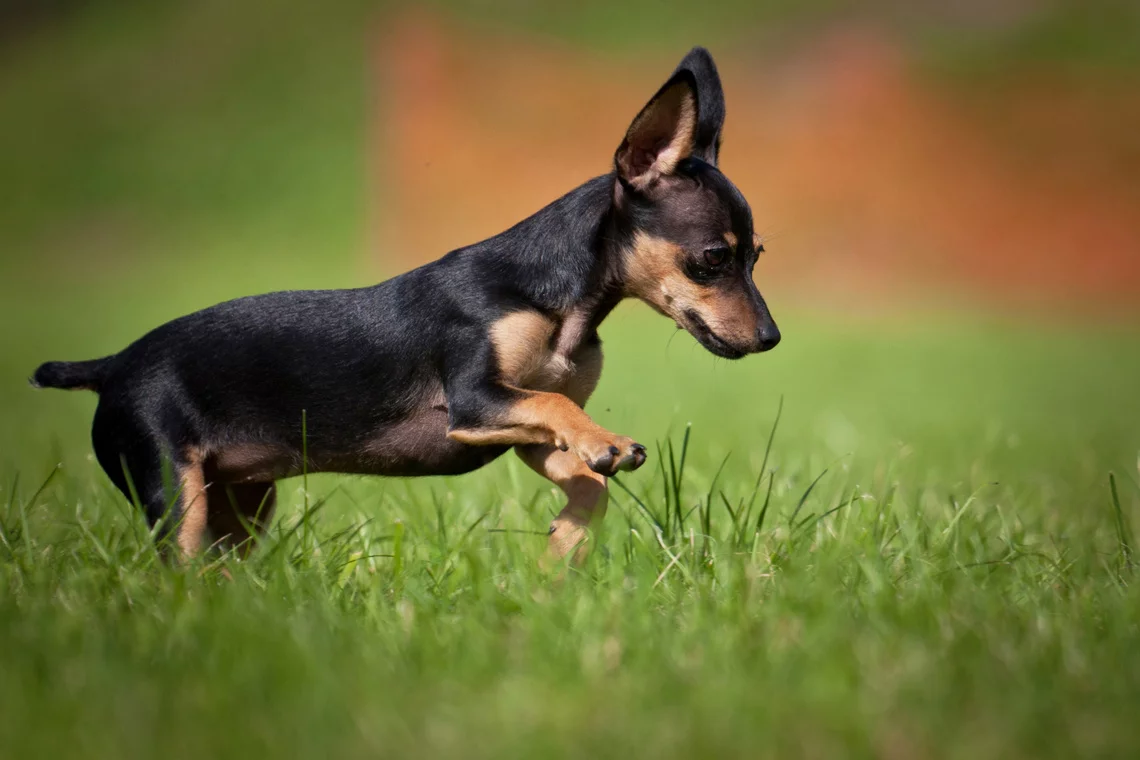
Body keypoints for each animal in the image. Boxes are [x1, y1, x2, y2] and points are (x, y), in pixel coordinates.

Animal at [37, 46, 784, 558]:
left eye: (757, 256)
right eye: (712, 259)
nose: (771, 339)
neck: (560, 306)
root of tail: (114, 364)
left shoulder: (517, 435)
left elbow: (582, 469)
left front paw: (563, 547)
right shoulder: (475, 403)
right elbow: (556, 404)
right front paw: (606, 446)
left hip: (241, 503)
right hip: (176, 492)